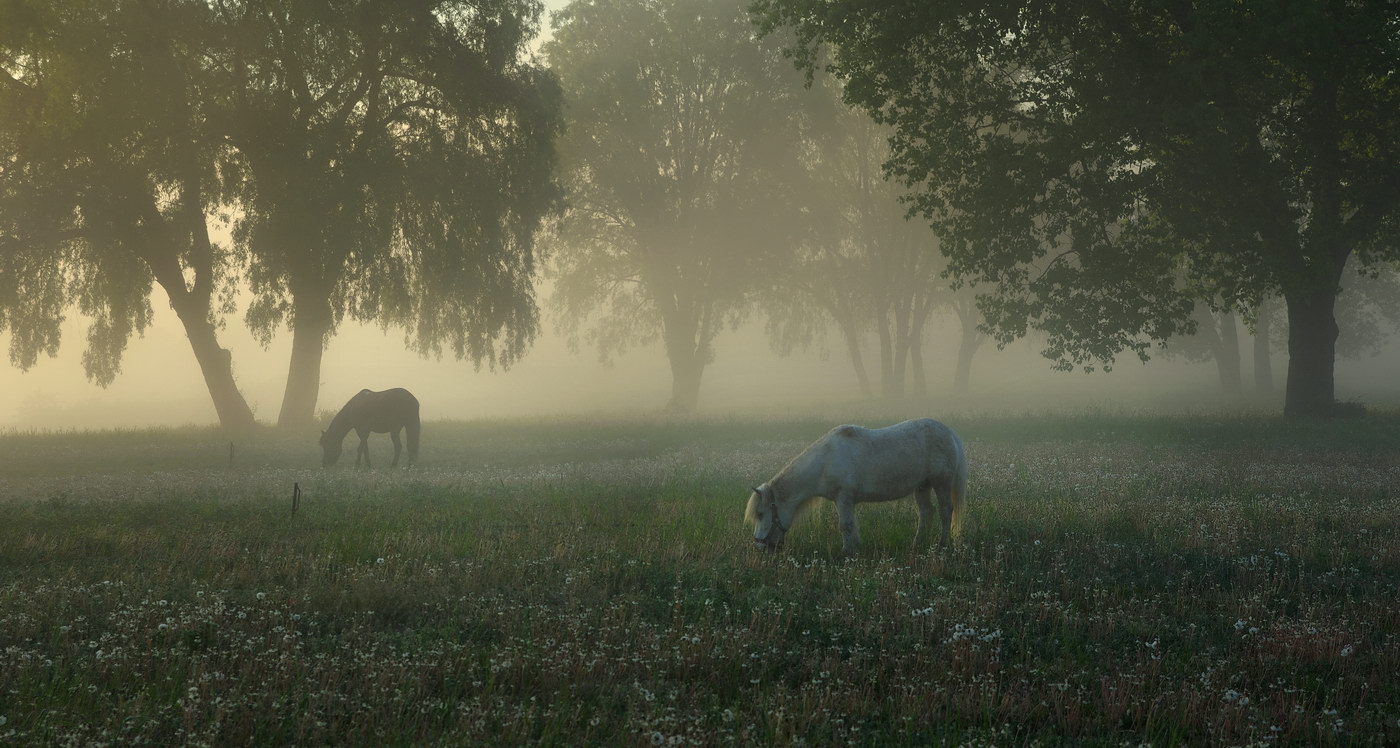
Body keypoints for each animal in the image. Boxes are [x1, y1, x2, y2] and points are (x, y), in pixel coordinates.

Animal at [750, 420, 968, 554]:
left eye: (760, 514)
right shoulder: (843, 500)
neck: (826, 461)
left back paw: (942, 545)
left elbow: (845, 525)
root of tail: (950, 433)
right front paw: (854, 548)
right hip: (922, 486)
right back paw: (917, 544)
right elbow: (850, 525)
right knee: (926, 513)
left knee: (945, 511)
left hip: (941, 483)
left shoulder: (844, 497)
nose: (759, 547)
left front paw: (847, 552)